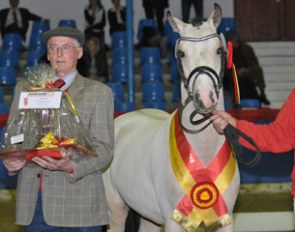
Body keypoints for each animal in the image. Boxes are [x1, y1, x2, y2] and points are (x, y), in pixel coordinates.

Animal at [103, 4, 240, 232]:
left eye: (219, 50)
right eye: (181, 53)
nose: (205, 97)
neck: (203, 153)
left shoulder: (224, 219)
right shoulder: (174, 220)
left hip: (148, 216)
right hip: (116, 208)